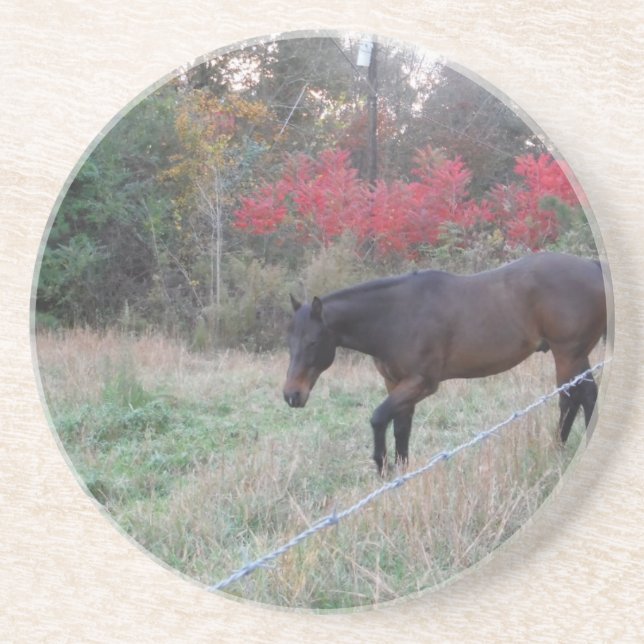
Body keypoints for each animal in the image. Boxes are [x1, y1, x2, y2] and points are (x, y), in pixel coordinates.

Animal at [283, 252, 607, 475]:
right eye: (289, 342)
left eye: (313, 342)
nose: (292, 395)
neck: (396, 316)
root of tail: (593, 268)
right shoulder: (396, 383)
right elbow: (401, 428)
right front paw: (400, 475)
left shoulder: (422, 383)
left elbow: (378, 418)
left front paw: (382, 466)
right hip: (575, 354)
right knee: (585, 395)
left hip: (567, 353)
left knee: (572, 398)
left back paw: (558, 450)